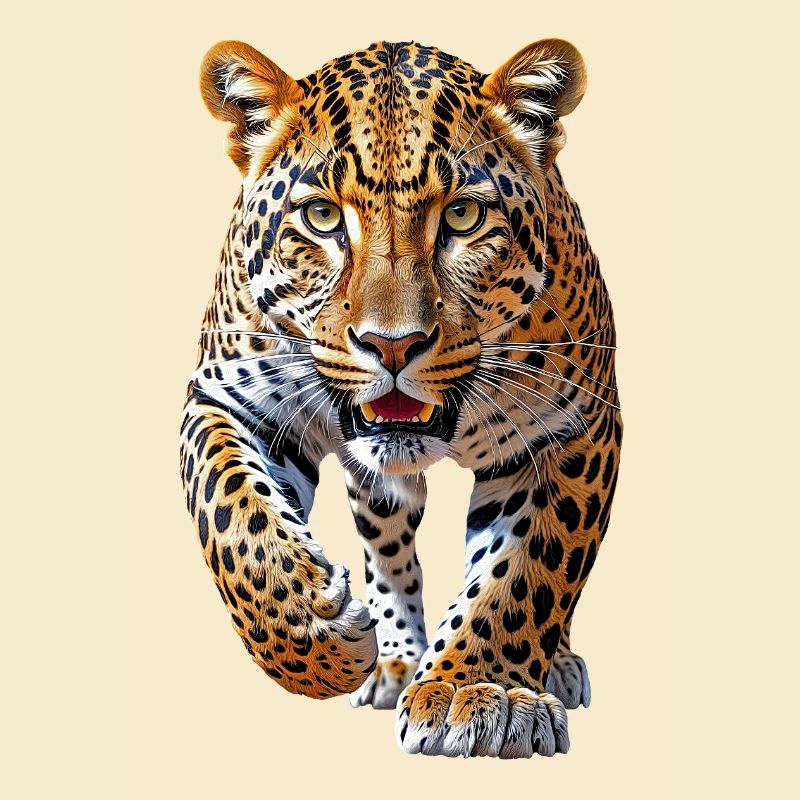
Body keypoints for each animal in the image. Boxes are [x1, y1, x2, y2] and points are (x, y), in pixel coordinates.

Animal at [180, 37, 622, 759]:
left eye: (464, 216)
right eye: (322, 216)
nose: (393, 346)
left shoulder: (573, 426)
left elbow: (526, 572)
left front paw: (480, 691)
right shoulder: (229, 398)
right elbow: (234, 519)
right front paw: (316, 631)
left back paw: (552, 664)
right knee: (387, 542)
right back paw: (392, 658)